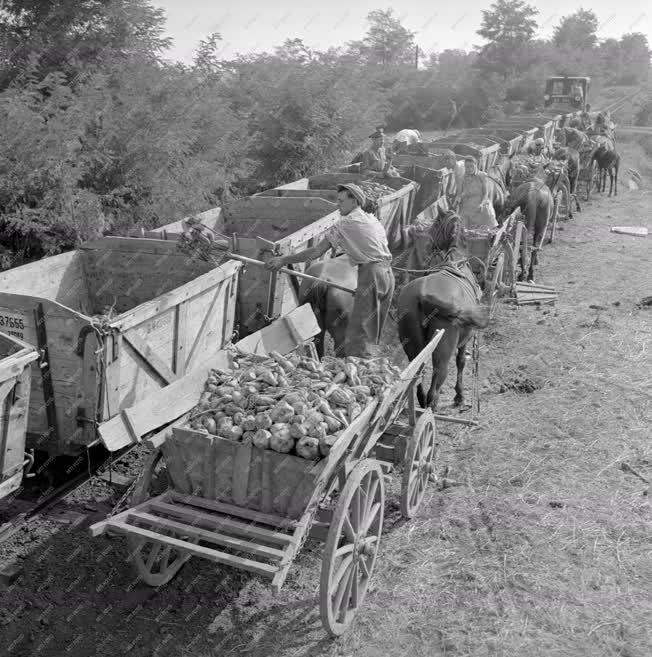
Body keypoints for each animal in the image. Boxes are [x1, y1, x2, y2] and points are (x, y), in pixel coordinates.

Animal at [394, 210, 492, 408]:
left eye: (433, 228)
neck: (454, 260)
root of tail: (423, 295)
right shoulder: (465, 339)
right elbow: (461, 362)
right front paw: (459, 395)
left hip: (413, 347)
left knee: (417, 376)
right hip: (442, 352)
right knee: (436, 385)